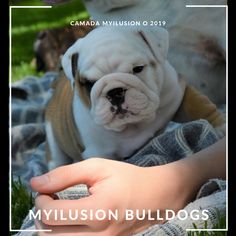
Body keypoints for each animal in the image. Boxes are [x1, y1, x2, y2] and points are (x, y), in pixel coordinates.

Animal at [45, 26, 186, 169]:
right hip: (54, 146)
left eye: (138, 68)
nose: (114, 92)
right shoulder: (97, 153)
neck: (131, 125)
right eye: (90, 83)